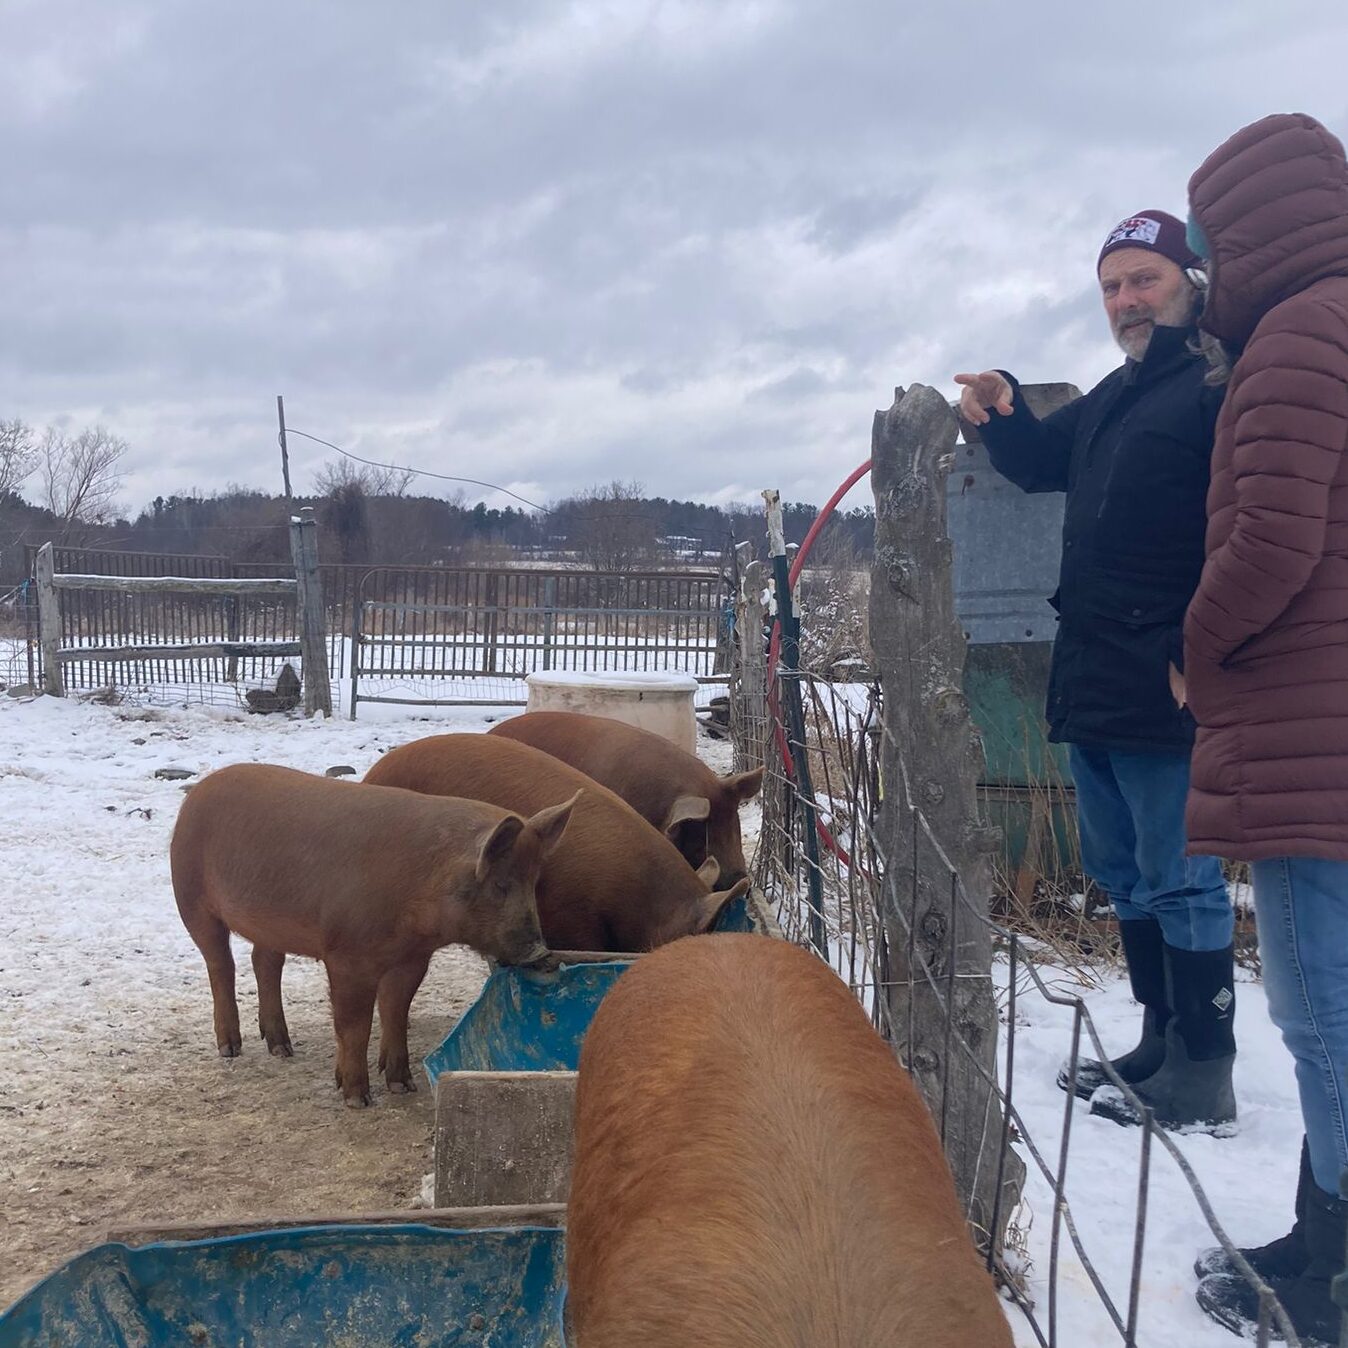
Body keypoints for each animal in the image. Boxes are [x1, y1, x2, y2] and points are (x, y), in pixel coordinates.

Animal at [171, 765, 576, 1099]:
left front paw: (402, 1085)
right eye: (500, 885)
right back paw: (230, 1047)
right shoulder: (347, 957)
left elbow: (396, 1012)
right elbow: (355, 1025)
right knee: (220, 965)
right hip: (190, 897)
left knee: (265, 962)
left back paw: (282, 1048)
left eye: (534, 882)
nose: (542, 954)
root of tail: (200, 789)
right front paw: (357, 1098)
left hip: (268, 922)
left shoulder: (412, 959)